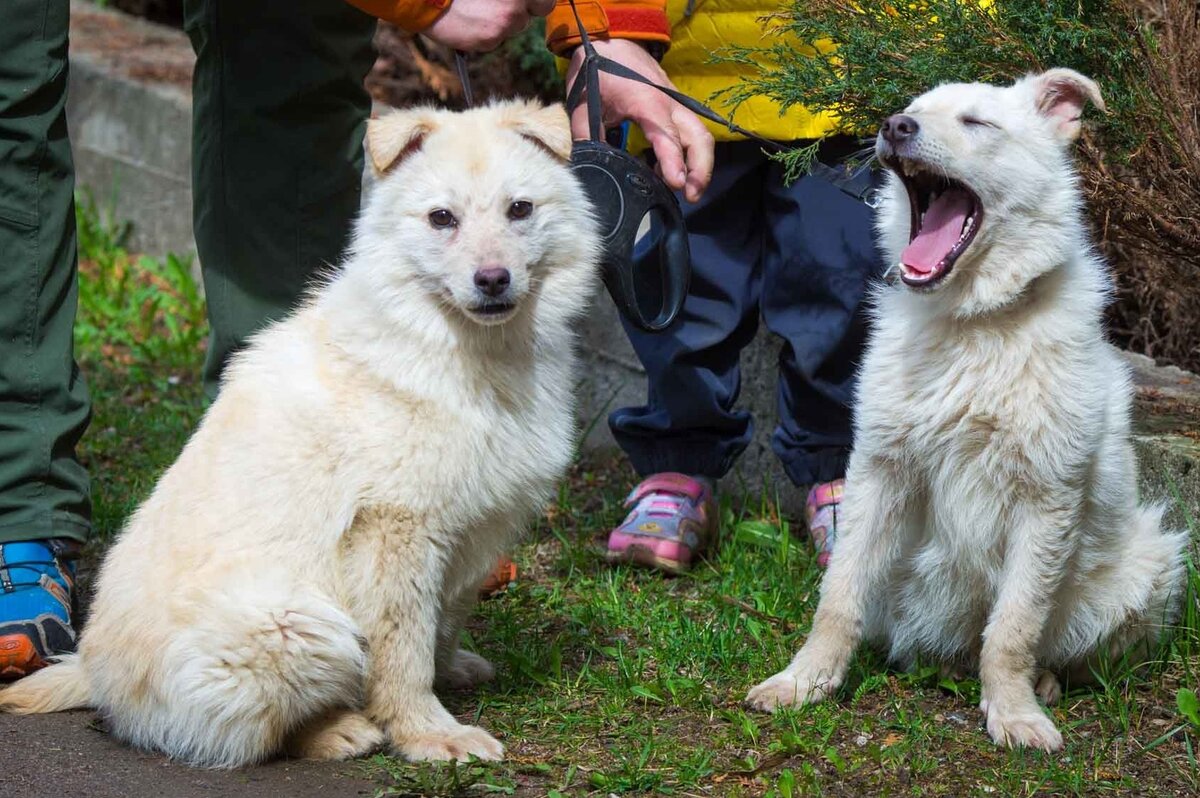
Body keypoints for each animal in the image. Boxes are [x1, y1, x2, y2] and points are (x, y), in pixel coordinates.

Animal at [0, 99, 600, 768]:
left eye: (520, 209)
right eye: (442, 218)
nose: (492, 279)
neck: (454, 344)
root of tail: (94, 673)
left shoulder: (472, 529)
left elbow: (442, 621)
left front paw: (450, 674)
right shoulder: (396, 529)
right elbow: (403, 648)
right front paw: (426, 732)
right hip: (298, 624)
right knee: (253, 734)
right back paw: (339, 729)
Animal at [748, 69, 1190, 753]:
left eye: (977, 123)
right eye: (910, 111)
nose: (894, 126)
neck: (974, 322)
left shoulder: (1047, 500)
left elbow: (1012, 629)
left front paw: (1012, 713)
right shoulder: (878, 474)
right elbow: (836, 599)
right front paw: (805, 681)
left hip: (1153, 565)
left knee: (1051, 649)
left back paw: (1043, 682)